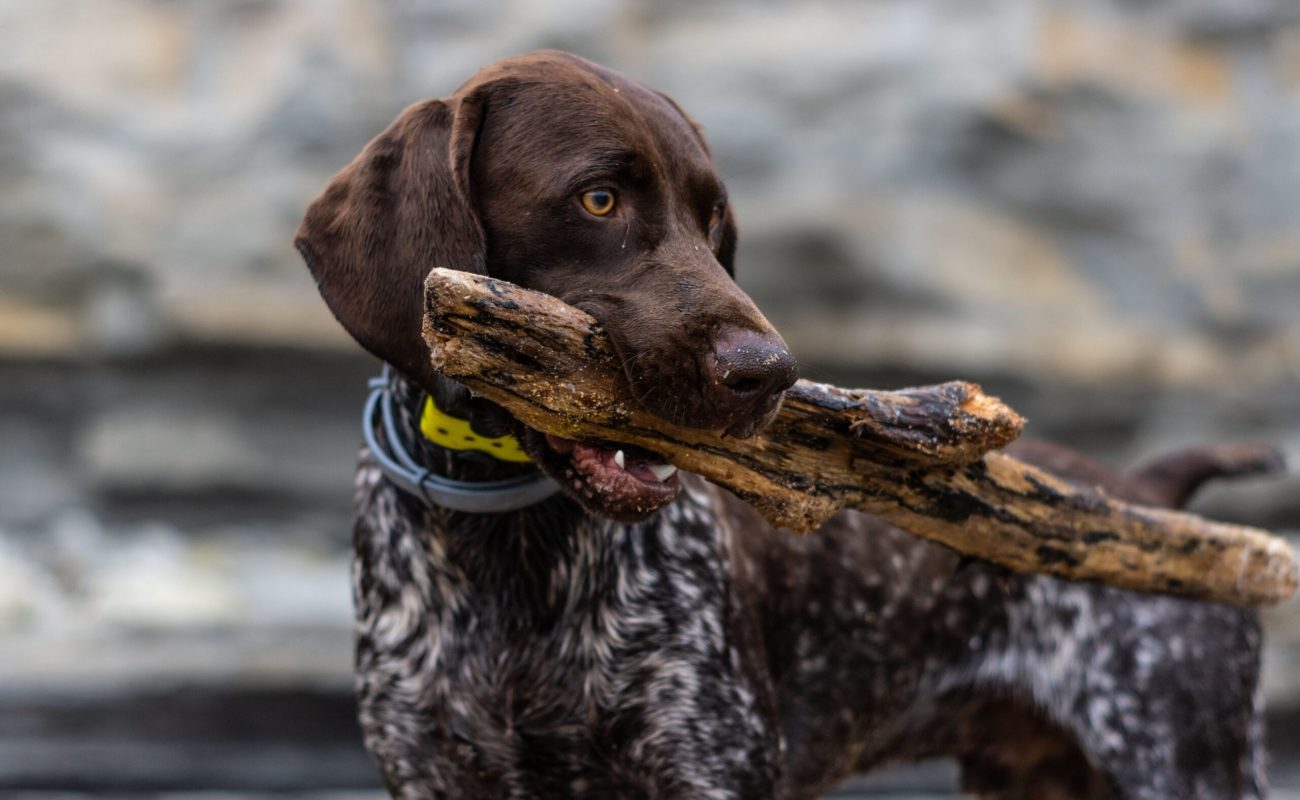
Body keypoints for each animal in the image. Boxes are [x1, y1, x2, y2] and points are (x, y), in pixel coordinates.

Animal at [297, 50, 1279, 800]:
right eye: (598, 200)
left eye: (713, 216)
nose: (769, 373)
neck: (506, 545)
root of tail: (1146, 488)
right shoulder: (431, 767)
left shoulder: (710, 760)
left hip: (1187, 760)